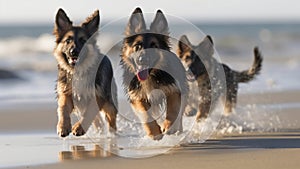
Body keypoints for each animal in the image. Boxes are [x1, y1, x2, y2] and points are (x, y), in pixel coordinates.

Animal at [52, 8, 117, 137]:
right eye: (68, 40)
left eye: (83, 41)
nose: (73, 52)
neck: (78, 72)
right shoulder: (66, 93)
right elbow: (63, 108)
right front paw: (63, 126)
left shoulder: (97, 96)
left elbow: (89, 113)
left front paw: (79, 127)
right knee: (98, 121)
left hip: (109, 103)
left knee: (111, 117)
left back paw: (112, 134)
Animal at [120, 7, 188, 140]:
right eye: (137, 46)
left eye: (154, 46)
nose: (142, 60)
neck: (151, 77)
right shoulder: (137, 96)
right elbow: (146, 115)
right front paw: (154, 132)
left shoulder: (173, 89)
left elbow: (173, 109)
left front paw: (169, 126)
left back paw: (177, 128)